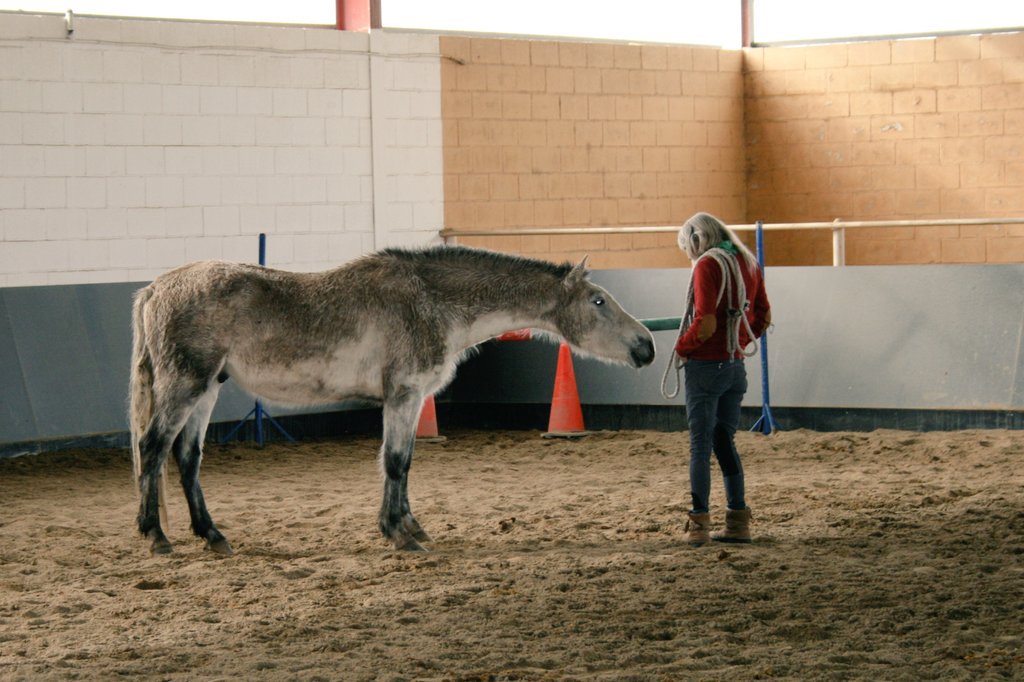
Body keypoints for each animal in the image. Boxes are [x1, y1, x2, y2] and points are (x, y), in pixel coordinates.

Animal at [129, 244, 656, 556]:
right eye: (599, 301)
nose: (646, 346)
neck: (431, 302)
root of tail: (155, 289)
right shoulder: (403, 393)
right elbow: (396, 462)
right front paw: (400, 535)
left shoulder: (412, 398)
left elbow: (404, 462)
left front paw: (410, 527)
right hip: (184, 387)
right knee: (153, 449)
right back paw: (157, 537)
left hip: (206, 389)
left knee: (187, 457)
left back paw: (212, 535)